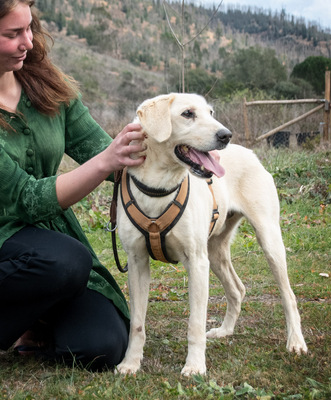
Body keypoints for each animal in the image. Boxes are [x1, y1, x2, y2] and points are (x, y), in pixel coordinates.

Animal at [116, 93, 308, 376]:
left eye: (210, 112)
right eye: (187, 113)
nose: (226, 135)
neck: (159, 187)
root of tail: (249, 152)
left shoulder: (196, 262)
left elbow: (195, 323)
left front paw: (195, 366)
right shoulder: (137, 262)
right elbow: (137, 324)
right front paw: (130, 363)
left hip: (269, 241)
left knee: (289, 296)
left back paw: (295, 342)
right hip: (215, 253)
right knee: (237, 290)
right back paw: (225, 331)